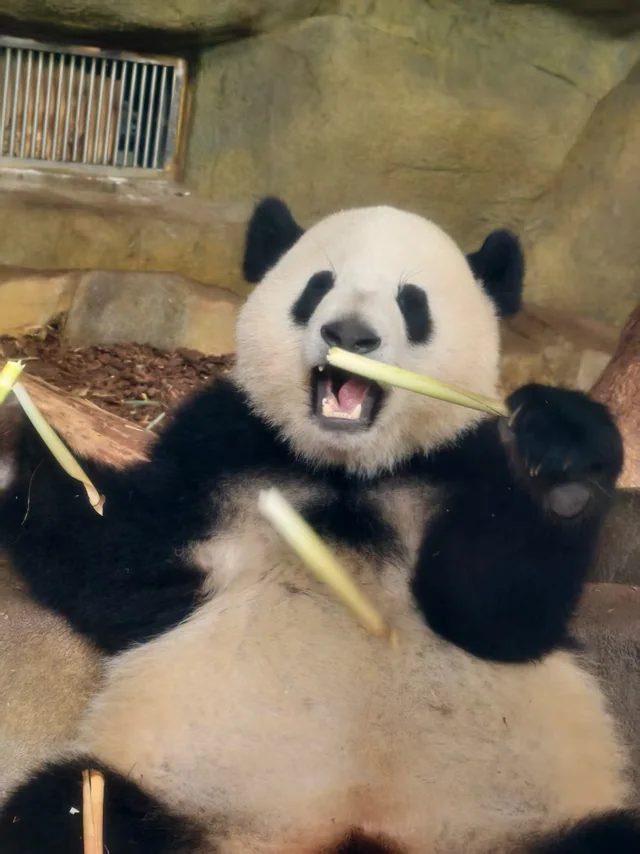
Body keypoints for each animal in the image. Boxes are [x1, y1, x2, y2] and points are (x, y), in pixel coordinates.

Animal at [0, 197, 638, 854]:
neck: (347, 473)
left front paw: (560, 463)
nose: (349, 335)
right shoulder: (222, 446)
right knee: (68, 807)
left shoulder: (460, 459)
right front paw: (9, 439)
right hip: (180, 800)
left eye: (413, 302)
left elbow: (496, 609)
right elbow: (125, 565)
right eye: (317, 287)